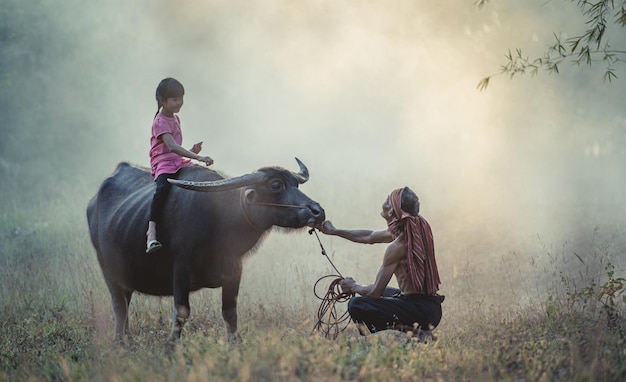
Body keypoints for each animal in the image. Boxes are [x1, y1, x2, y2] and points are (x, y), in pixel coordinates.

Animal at [86, 158, 326, 344]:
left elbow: (230, 312)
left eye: (296, 184)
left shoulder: (234, 270)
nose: (318, 211)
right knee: (119, 305)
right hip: (108, 270)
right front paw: (170, 346)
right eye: (276, 185)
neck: (220, 219)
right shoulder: (181, 269)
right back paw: (120, 342)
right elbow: (182, 311)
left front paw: (235, 343)